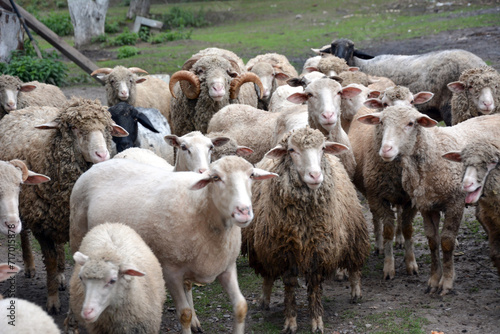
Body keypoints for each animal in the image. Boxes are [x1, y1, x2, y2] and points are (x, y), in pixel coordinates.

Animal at [68, 155, 278, 332]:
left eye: (251, 175)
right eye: (216, 178)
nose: (244, 211)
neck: (200, 208)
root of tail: (101, 163)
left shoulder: (226, 266)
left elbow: (241, 306)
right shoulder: (170, 271)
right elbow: (184, 314)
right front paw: (188, 319)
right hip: (77, 233)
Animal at [360, 105, 500, 294]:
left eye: (410, 123)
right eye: (381, 122)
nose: (386, 149)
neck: (433, 153)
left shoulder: (455, 203)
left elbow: (446, 242)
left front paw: (446, 282)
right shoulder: (426, 206)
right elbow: (433, 242)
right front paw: (434, 280)